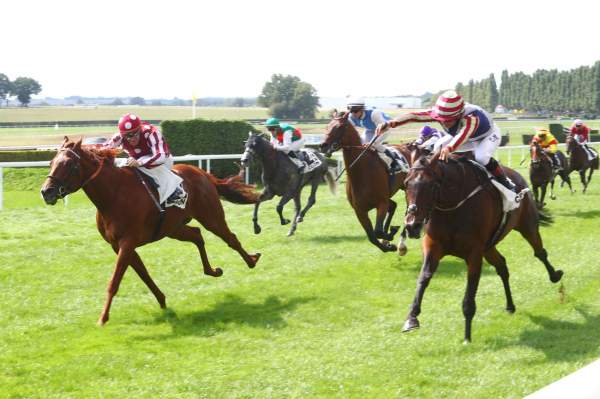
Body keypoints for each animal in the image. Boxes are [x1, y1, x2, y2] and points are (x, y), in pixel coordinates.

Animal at [39, 139, 260, 326]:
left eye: (69, 165)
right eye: (51, 162)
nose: (46, 192)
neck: (114, 195)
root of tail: (202, 173)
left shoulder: (128, 242)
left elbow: (115, 281)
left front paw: (102, 318)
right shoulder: (119, 245)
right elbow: (143, 273)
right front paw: (162, 300)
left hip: (211, 217)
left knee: (230, 238)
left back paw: (252, 260)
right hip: (173, 227)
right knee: (197, 235)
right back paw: (213, 270)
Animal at [318, 111, 418, 253]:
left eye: (339, 127)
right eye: (327, 126)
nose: (323, 145)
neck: (362, 172)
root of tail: (408, 146)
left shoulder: (381, 203)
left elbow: (377, 231)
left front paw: (390, 235)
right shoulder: (360, 211)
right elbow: (372, 236)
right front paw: (388, 244)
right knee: (393, 206)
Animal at [404, 153, 564, 344]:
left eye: (431, 185)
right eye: (405, 184)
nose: (412, 226)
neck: (453, 207)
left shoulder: (474, 253)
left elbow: (470, 293)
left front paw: (467, 335)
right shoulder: (433, 247)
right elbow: (424, 277)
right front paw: (412, 318)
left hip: (527, 226)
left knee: (539, 252)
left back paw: (555, 275)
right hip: (489, 247)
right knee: (502, 265)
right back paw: (510, 305)